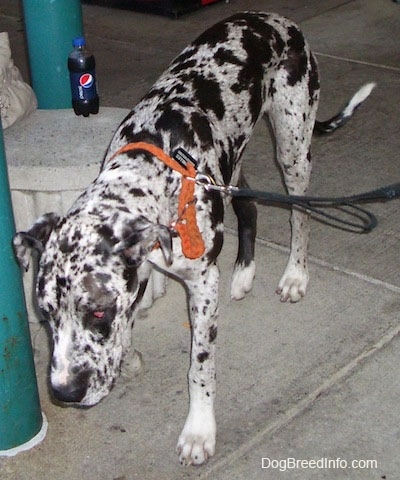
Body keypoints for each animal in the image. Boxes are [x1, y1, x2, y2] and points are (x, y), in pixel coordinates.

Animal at [13, 12, 376, 464]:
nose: (64, 392)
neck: (156, 168)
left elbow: (200, 366)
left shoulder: (201, 285)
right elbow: (128, 327)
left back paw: (295, 275)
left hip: (293, 148)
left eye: (97, 312)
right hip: (233, 161)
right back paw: (243, 274)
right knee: (249, 208)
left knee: (301, 215)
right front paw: (128, 357)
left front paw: (199, 430)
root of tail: (275, 19)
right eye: (44, 314)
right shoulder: (140, 269)